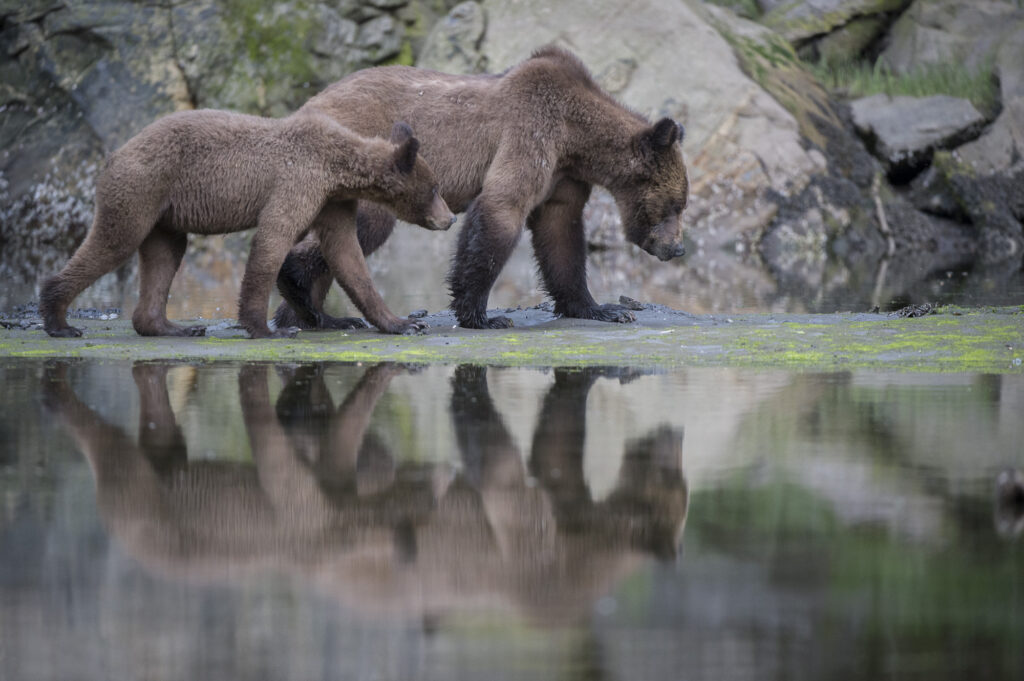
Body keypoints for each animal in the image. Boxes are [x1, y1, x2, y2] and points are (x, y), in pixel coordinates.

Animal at [39, 110, 454, 339]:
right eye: (435, 187)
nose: (449, 218)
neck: (339, 169)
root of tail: (112, 156)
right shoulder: (298, 181)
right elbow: (273, 241)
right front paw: (270, 328)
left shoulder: (333, 202)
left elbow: (347, 256)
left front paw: (394, 322)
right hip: (140, 189)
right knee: (114, 243)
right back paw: (59, 320)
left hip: (165, 216)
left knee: (163, 257)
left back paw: (172, 326)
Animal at [271, 46, 689, 331]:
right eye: (677, 204)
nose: (678, 247)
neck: (578, 138)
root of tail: (305, 105)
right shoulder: (532, 132)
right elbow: (502, 206)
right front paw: (481, 314)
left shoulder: (564, 176)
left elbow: (561, 235)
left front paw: (602, 308)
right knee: (362, 228)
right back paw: (300, 290)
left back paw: (316, 316)